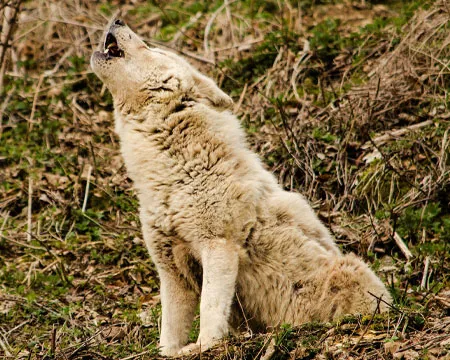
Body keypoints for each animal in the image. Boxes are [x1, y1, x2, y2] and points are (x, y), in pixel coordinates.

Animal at [90, 20, 390, 358]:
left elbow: (209, 310)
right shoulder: (171, 269)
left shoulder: (219, 246)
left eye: (154, 50)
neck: (174, 171)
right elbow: (169, 331)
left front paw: (205, 346)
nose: (117, 20)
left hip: (350, 269)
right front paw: (170, 352)